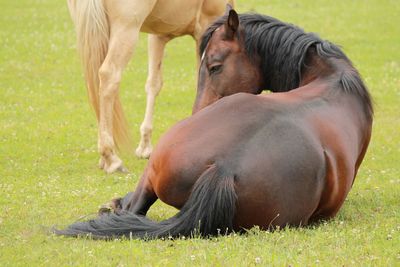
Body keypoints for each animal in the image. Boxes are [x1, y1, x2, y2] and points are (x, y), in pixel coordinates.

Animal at [66, 0, 234, 174]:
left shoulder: (158, 36)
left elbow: (154, 84)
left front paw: (145, 147)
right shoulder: (207, 24)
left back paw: (104, 158)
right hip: (125, 31)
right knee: (109, 77)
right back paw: (111, 158)